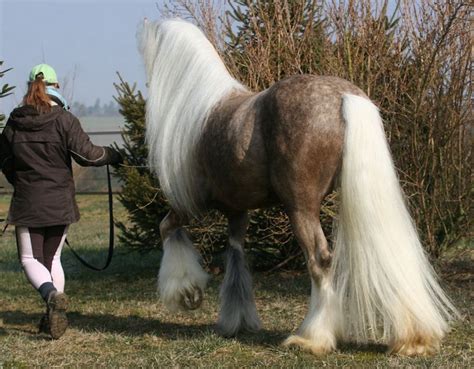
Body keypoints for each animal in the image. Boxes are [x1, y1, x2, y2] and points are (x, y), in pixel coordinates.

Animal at [136, 18, 456, 356]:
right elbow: (236, 257)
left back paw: (312, 338)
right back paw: (413, 339)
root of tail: (343, 96)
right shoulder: (237, 211)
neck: (203, 110)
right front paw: (236, 321)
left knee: (319, 260)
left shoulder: (189, 204)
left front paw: (187, 294)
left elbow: (167, 229)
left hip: (300, 207)